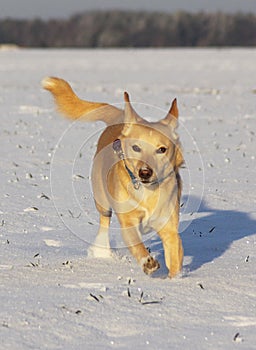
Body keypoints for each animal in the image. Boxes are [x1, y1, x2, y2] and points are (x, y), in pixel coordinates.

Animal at [43, 77, 185, 278]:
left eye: (162, 149)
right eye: (136, 147)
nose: (145, 172)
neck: (147, 193)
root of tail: (120, 117)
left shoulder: (169, 226)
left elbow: (174, 255)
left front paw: (176, 280)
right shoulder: (128, 221)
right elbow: (136, 243)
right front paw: (147, 262)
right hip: (101, 196)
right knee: (104, 220)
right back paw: (102, 252)